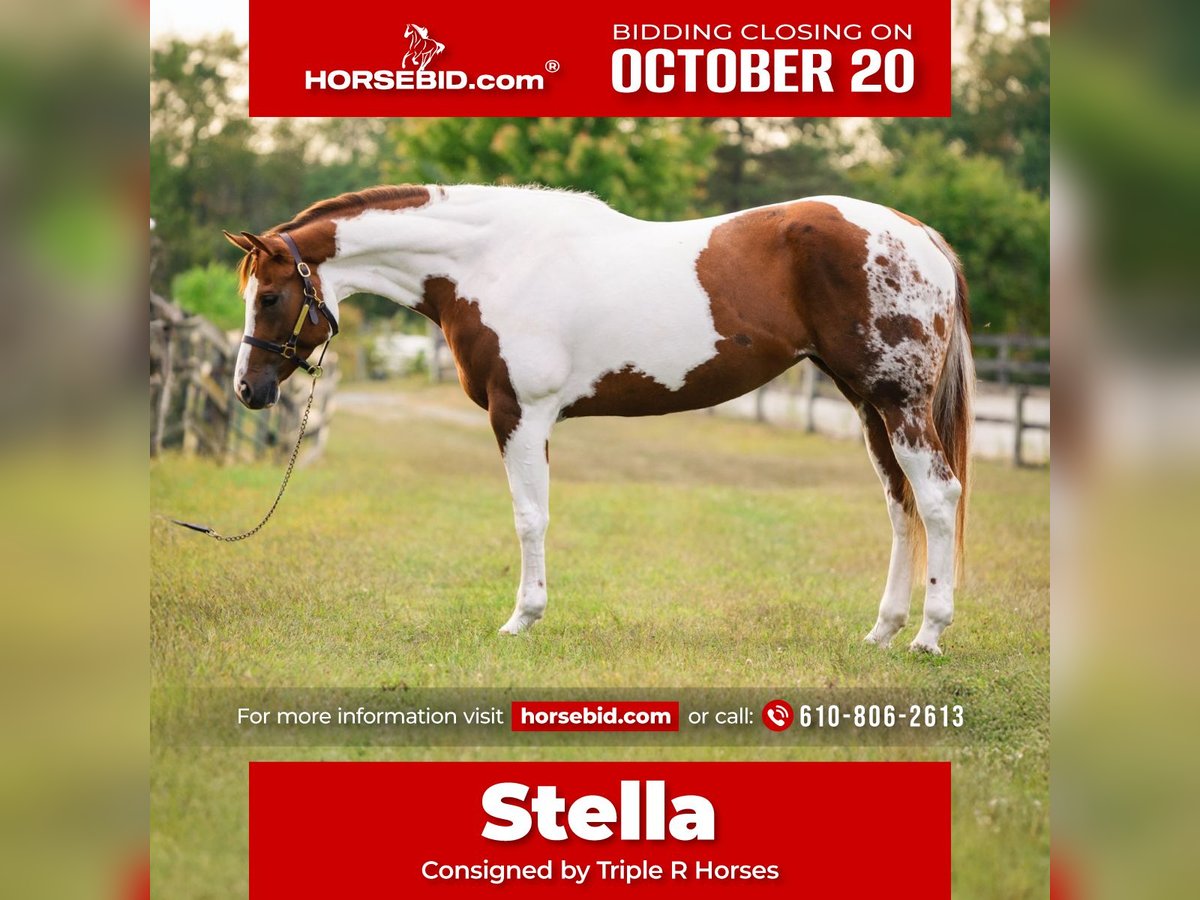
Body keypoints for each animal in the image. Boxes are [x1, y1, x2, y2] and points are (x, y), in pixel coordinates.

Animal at [223, 184, 974, 654]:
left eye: (269, 296)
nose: (248, 390)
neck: (491, 263)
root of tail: (919, 235)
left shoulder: (520, 414)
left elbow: (530, 517)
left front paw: (521, 620)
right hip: (868, 405)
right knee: (900, 505)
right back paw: (883, 631)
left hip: (898, 404)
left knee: (938, 498)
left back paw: (929, 635)